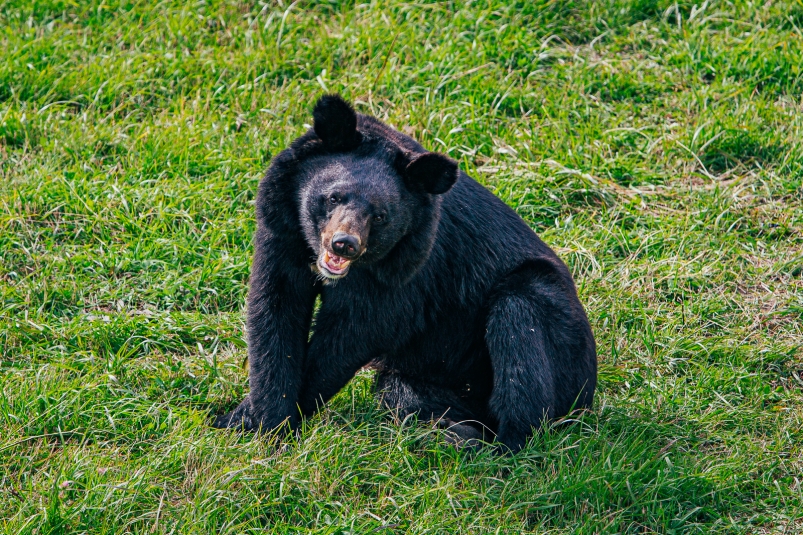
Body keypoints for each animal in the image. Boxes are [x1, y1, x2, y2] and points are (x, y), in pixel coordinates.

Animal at [212, 94, 597, 452]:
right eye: (334, 197)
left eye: (380, 216)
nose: (344, 244)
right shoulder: (281, 231)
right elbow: (274, 313)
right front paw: (249, 421)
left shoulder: (405, 275)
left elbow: (351, 334)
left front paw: (274, 426)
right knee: (399, 391)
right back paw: (457, 432)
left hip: (550, 325)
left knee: (519, 333)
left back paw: (500, 446)